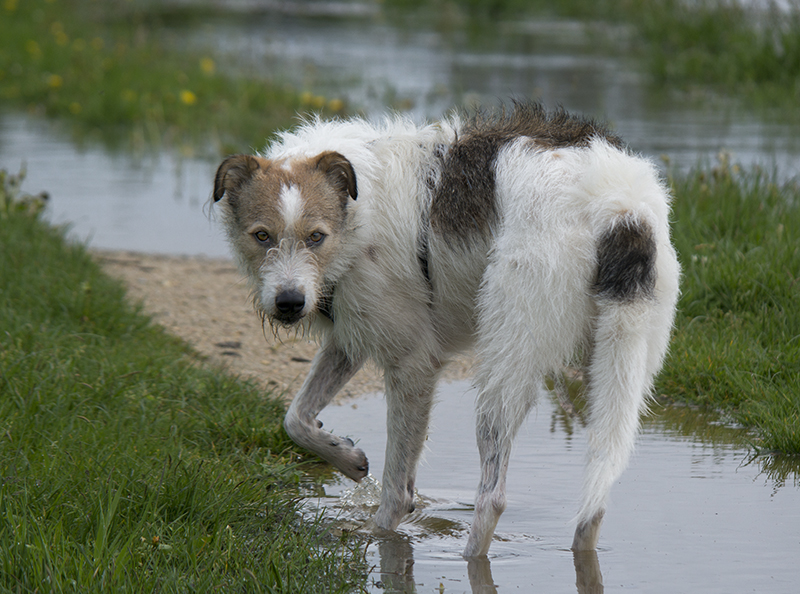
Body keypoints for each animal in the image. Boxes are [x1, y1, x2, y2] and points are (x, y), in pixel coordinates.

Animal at [212, 102, 680, 556]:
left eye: (315, 236)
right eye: (261, 235)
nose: (289, 304)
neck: (358, 210)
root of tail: (621, 207)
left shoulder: (412, 364)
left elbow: (396, 491)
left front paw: (379, 537)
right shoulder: (351, 336)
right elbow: (296, 417)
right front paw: (345, 456)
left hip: (505, 372)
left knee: (492, 497)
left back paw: (468, 554)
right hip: (624, 360)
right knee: (595, 502)